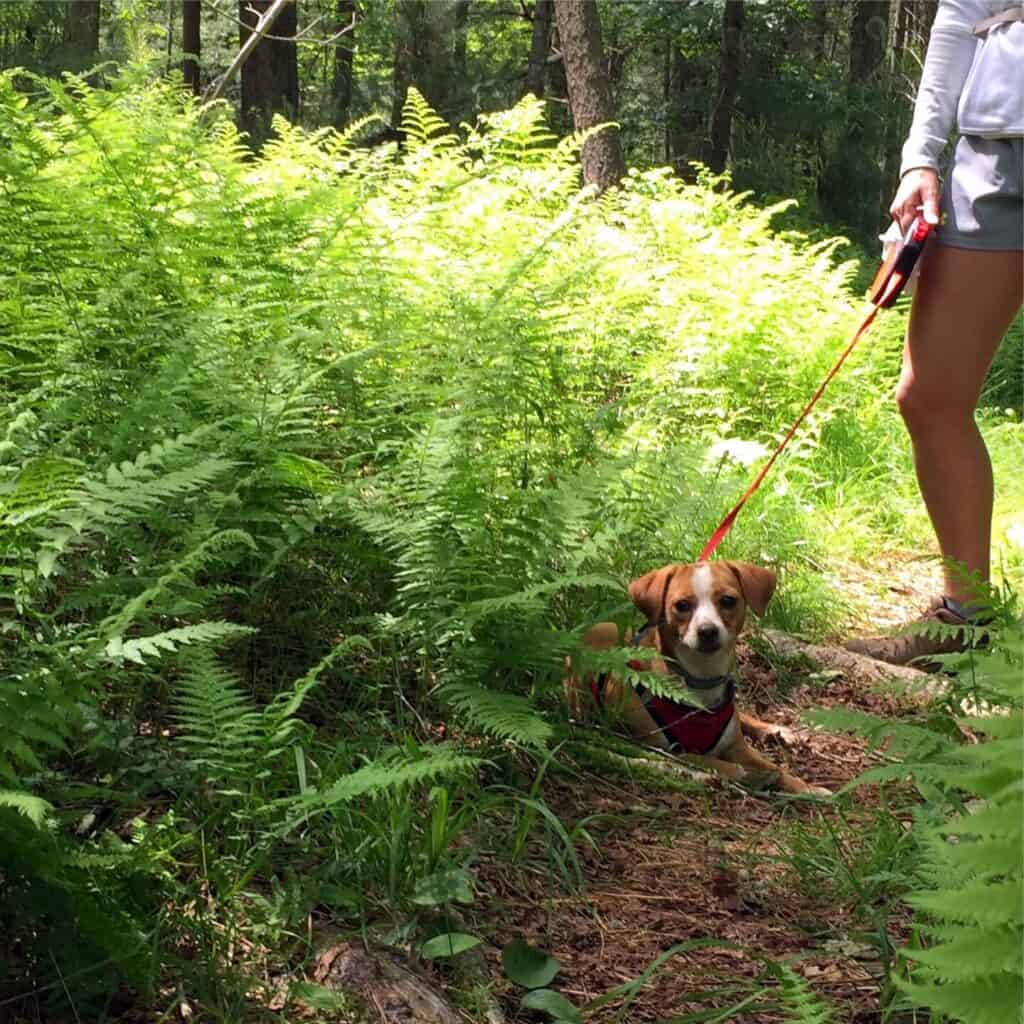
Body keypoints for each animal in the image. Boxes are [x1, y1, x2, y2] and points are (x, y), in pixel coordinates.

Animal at [569, 565, 831, 794]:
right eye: (681, 605)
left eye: (728, 600)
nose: (707, 631)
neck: (701, 679)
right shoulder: (657, 747)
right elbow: (712, 762)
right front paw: (745, 774)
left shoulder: (738, 746)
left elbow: (775, 766)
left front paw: (807, 788)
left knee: (742, 716)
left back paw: (774, 730)